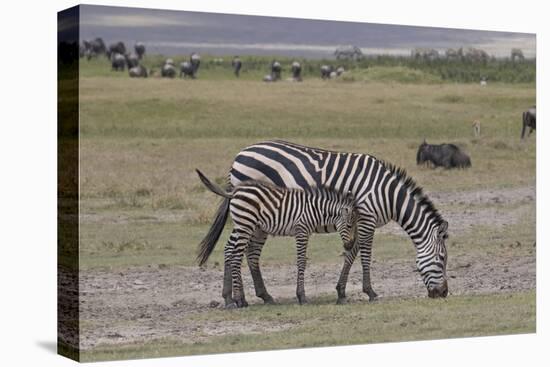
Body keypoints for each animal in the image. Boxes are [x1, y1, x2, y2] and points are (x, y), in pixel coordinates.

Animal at [197, 171, 358, 310]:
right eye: (349, 225)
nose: (350, 245)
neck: (315, 210)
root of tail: (235, 191)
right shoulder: (301, 230)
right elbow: (301, 261)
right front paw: (302, 297)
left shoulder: (305, 232)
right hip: (245, 224)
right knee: (236, 256)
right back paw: (238, 300)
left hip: (247, 226)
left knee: (232, 253)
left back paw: (237, 299)